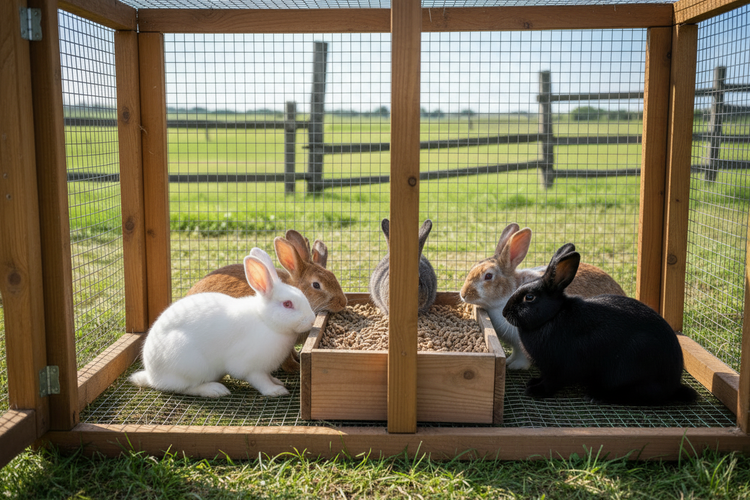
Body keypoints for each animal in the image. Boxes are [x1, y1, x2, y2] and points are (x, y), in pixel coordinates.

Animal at [129, 248, 316, 398]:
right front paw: (276, 391)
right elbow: (260, 380)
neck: (266, 321)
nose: (312, 319)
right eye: (287, 304)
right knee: (186, 388)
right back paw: (215, 390)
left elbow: (269, 376)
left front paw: (277, 381)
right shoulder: (250, 367)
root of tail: (152, 375)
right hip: (190, 364)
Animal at [502, 243, 698, 406]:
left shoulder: (561, 368)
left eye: (529, 297)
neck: (553, 316)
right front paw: (533, 382)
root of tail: (672, 385)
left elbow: (553, 382)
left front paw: (535, 390)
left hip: (631, 364)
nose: (505, 312)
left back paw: (596, 396)